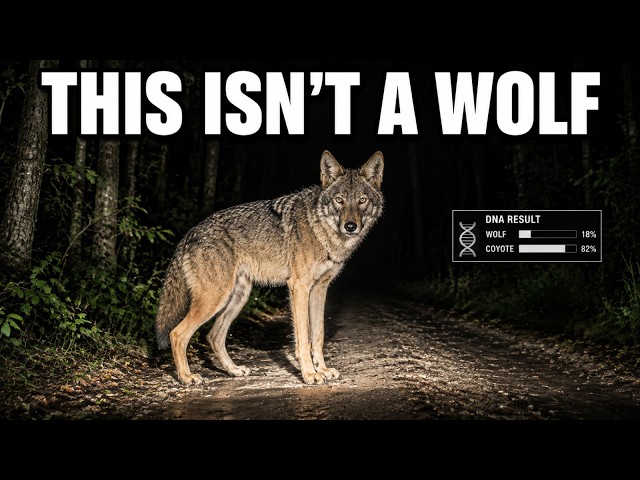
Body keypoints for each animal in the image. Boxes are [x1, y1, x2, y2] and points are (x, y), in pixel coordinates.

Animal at [155, 150, 384, 385]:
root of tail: (188, 234)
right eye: (340, 200)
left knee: (214, 336)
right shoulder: (299, 288)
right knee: (177, 334)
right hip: (214, 299)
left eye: (362, 200)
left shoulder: (320, 289)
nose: (350, 226)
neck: (322, 230)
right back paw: (186, 377)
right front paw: (310, 374)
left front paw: (323, 369)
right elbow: (303, 338)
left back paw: (234, 370)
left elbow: (318, 335)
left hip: (238, 298)